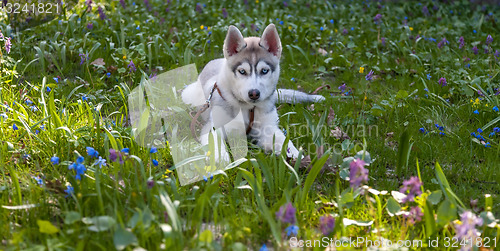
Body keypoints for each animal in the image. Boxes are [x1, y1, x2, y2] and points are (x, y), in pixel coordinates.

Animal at [182, 24, 326, 161]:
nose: (254, 93)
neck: (248, 108)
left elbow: (284, 140)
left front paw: (296, 155)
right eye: (242, 71)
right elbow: (215, 143)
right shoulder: (213, 127)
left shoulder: (268, 129)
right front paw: (219, 158)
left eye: (264, 71)